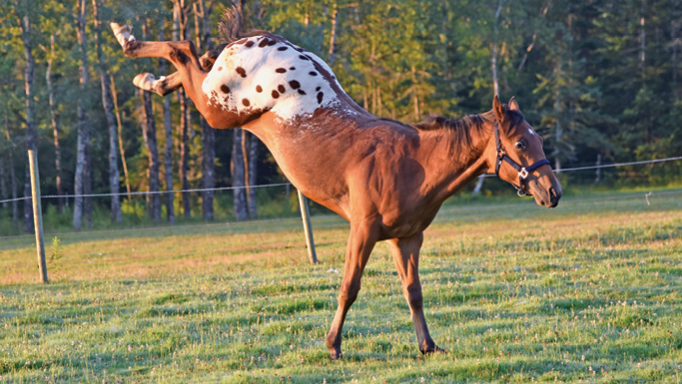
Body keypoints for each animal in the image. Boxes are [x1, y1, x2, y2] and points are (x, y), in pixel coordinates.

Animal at [110, 9, 556, 360]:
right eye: (520, 143)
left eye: (539, 140)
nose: (553, 192)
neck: (413, 162)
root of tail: (264, 39)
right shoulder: (363, 230)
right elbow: (349, 288)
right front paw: (333, 345)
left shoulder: (406, 238)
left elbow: (413, 291)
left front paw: (428, 346)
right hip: (216, 109)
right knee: (181, 49)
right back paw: (127, 39)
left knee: (191, 59)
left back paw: (148, 80)